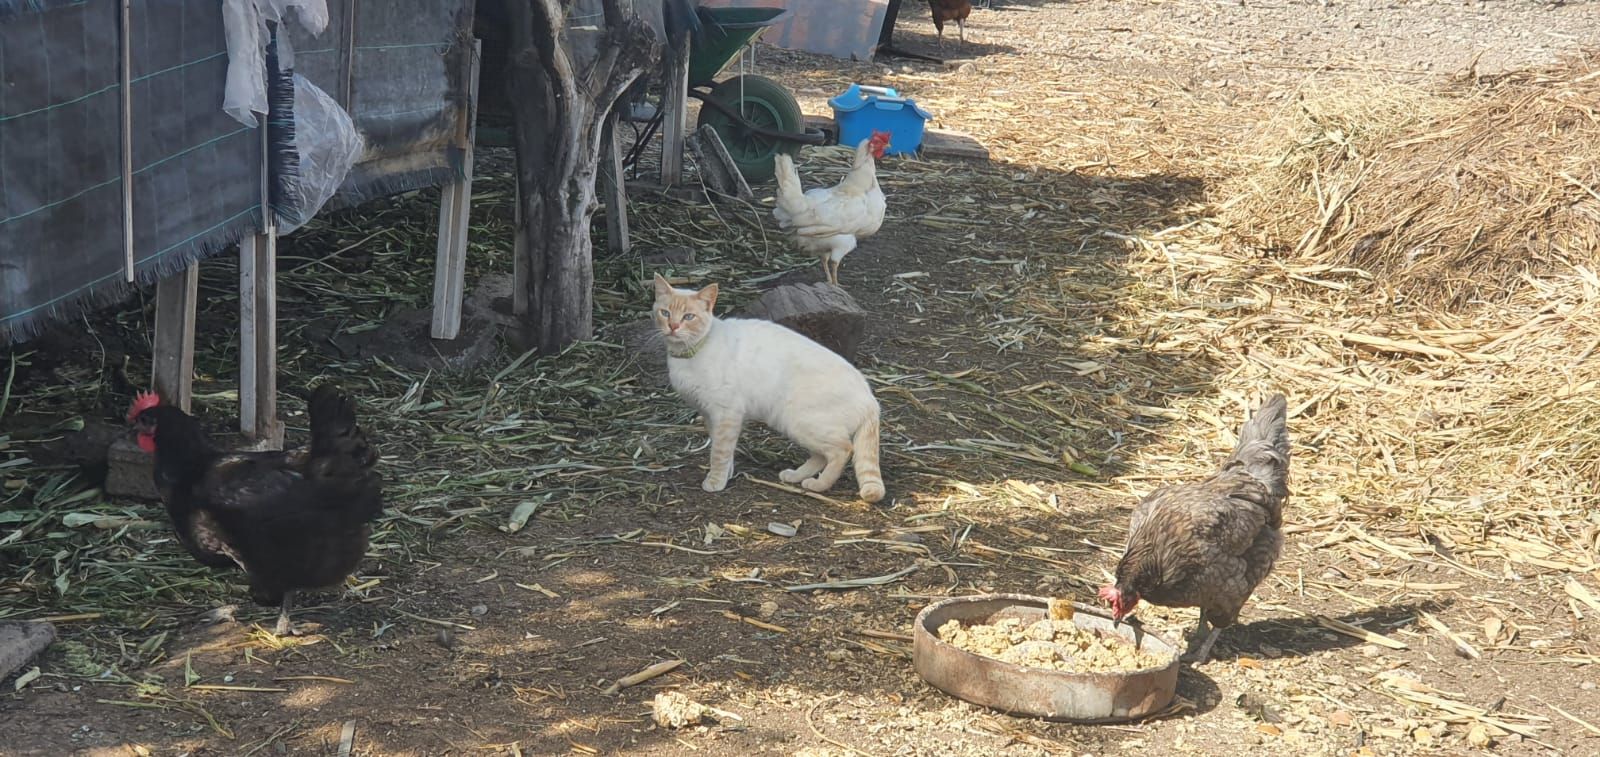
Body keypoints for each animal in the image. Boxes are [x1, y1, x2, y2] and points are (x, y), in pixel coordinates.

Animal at [649, 273, 889, 502]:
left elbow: (719, 451)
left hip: (799, 421)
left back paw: (818, 485)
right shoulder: (710, 414)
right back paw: (796, 476)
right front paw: (727, 474)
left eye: (688, 317)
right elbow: (722, 447)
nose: (673, 327)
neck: (689, 353)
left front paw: (715, 481)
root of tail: (871, 398)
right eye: (665, 313)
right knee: (822, 455)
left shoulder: (726, 412)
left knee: (842, 450)